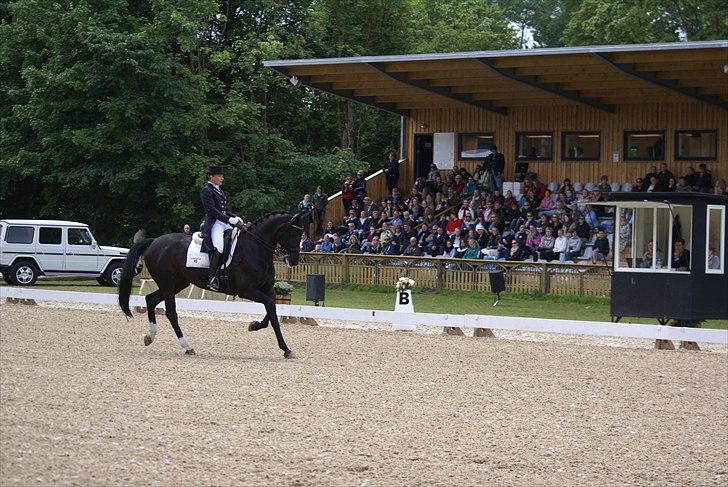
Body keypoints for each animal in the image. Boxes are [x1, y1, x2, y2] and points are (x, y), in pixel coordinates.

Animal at [118, 213, 304, 358]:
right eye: (293, 232)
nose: (294, 261)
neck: (255, 247)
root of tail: (155, 241)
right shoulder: (246, 290)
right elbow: (271, 309)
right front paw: (286, 349)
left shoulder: (267, 289)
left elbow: (271, 311)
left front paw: (254, 326)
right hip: (168, 284)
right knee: (171, 312)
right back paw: (187, 346)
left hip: (177, 284)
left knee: (150, 300)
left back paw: (150, 337)